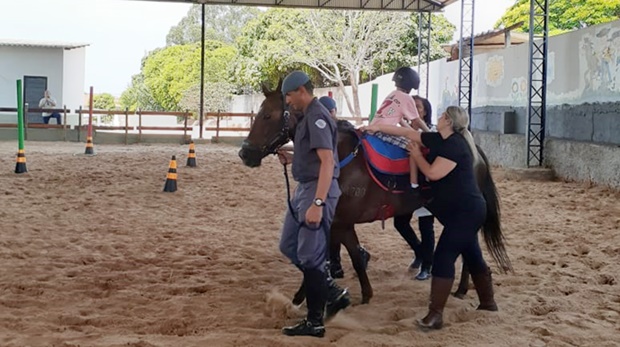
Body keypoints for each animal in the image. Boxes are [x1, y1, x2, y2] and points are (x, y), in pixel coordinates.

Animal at [235, 81, 512, 304]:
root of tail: (474, 149)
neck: (340, 158)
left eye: (268, 115)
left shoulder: (341, 223)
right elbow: (332, 258)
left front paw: (360, 294)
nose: (245, 153)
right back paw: (462, 287)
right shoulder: (334, 223)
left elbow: (349, 258)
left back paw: (463, 288)